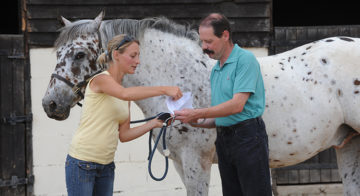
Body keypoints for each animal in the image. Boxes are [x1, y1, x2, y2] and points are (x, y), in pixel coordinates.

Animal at [43, 12, 360, 196]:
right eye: (58, 52)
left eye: (80, 54)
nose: (50, 104)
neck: (180, 73)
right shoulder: (180, 162)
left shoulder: (197, 160)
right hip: (347, 145)